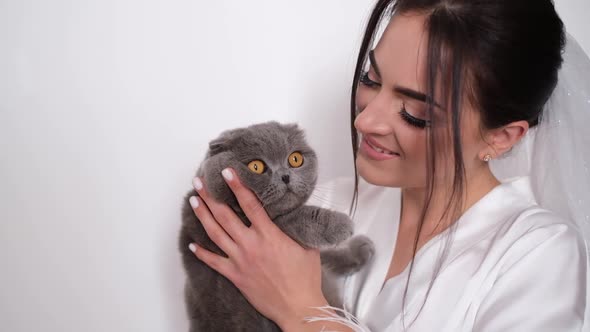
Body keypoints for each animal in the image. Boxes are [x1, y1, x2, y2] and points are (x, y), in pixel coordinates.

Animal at [178, 122, 376, 332]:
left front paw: (359, 248)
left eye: (295, 159)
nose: (285, 176)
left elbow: (325, 257)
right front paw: (339, 224)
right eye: (256, 166)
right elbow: (293, 217)